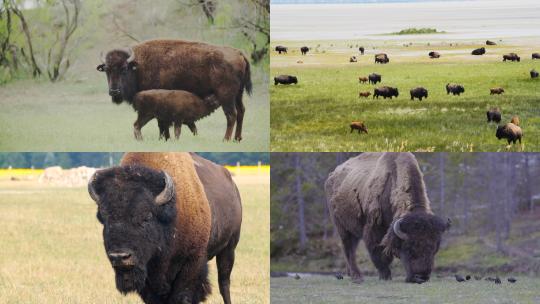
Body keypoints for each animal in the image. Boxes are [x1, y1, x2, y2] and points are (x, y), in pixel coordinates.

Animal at [88, 152, 240, 304]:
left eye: (147, 217)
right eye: (104, 219)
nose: (120, 257)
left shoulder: (192, 261)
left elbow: (182, 295)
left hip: (229, 248)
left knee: (224, 283)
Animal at [97, 38, 253, 142]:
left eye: (124, 69)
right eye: (107, 70)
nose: (114, 91)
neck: (138, 66)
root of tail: (239, 53)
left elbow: (162, 123)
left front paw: (164, 138)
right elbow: (163, 123)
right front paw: (164, 138)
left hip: (226, 96)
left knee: (231, 115)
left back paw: (226, 139)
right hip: (238, 95)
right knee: (241, 111)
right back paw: (237, 138)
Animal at [326, 153, 450, 284]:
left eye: (434, 249)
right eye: (409, 248)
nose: (421, 277)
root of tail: (331, 176)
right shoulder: (374, 229)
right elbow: (379, 253)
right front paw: (385, 276)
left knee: (352, 249)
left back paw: (350, 274)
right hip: (342, 228)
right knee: (348, 249)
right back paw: (357, 276)